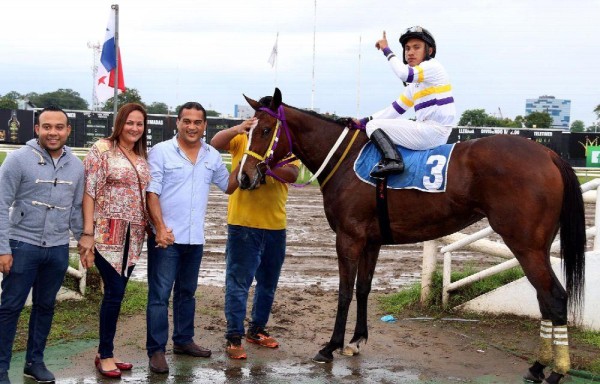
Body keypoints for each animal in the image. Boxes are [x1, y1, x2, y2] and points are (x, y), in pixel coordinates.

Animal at [237, 88, 584, 384]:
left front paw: (330, 346)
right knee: (544, 300)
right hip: (537, 247)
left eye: (265, 130)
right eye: (246, 131)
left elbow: (345, 292)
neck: (345, 161)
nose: (244, 177)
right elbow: (363, 289)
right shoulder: (371, 241)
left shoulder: (348, 238)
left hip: (525, 245)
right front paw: (356, 341)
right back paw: (538, 366)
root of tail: (548, 154)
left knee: (555, 298)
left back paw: (556, 371)